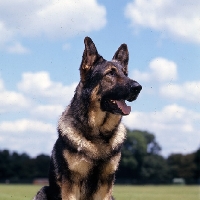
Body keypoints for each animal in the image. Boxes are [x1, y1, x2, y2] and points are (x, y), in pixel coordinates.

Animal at [33, 37, 142, 200]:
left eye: (125, 74)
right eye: (110, 74)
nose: (138, 87)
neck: (98, 132)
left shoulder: (105, 186)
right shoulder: (71, 186)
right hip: (43, 190)